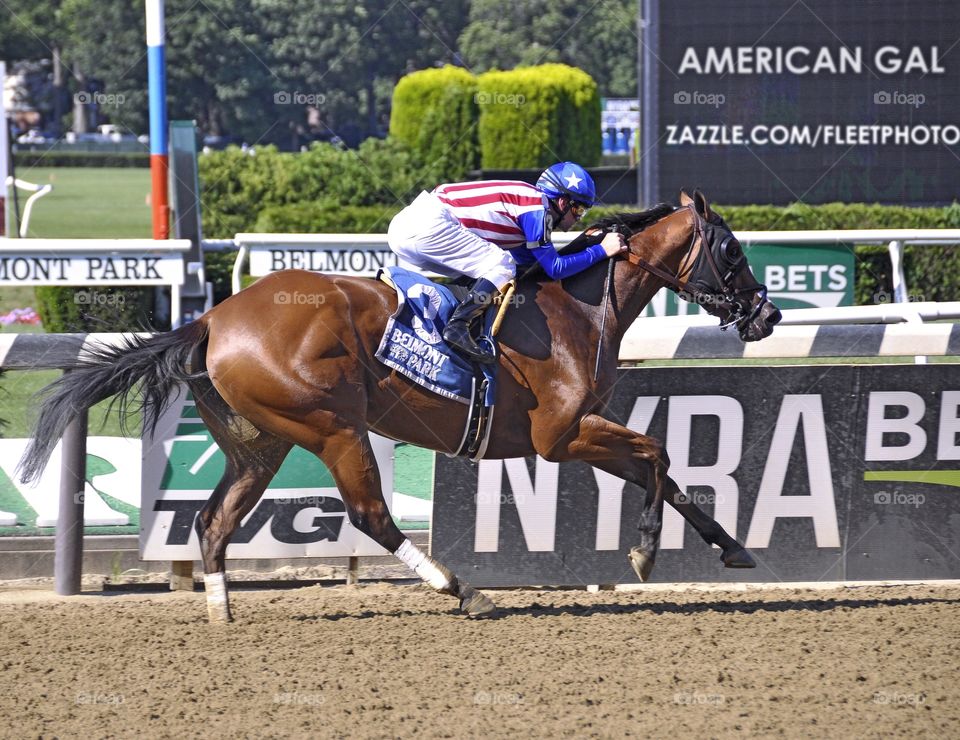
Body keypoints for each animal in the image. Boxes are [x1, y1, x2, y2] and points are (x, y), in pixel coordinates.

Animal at [16, 189, 780, 620]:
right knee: (370, 515)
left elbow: (667, 473)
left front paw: (733, 547)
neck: (582, 308)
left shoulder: (581, 431)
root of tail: (212, 318)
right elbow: (658, 454)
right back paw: (459, 588)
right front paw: (645, 552)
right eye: (730, 250)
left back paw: (221, 610)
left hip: (261, 442)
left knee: (213, 519)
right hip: (332, 427)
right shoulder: (561, 435)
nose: (768, 315)